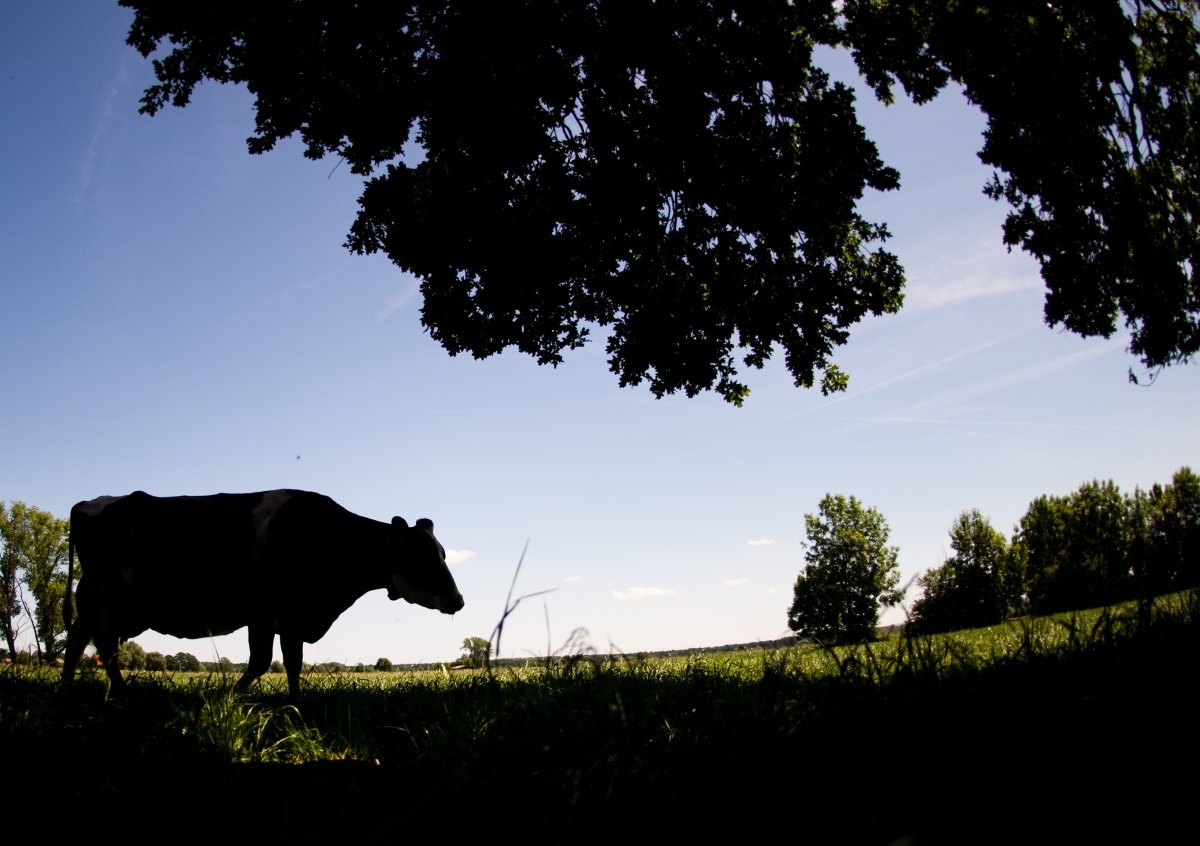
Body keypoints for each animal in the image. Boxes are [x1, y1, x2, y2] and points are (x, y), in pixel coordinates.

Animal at [60, 489, 465, 700]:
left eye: (444, 554)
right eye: (421, 557)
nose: (458, 601)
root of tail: (87, 503)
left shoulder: (288, 617)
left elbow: (288, 662)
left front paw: (295, 703)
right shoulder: (269, 611)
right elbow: (264, 661)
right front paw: (231, 696)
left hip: (106, 603)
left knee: (80, 639)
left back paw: (69, 688)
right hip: (107, 600)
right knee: (104, 646)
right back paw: (119, 692)